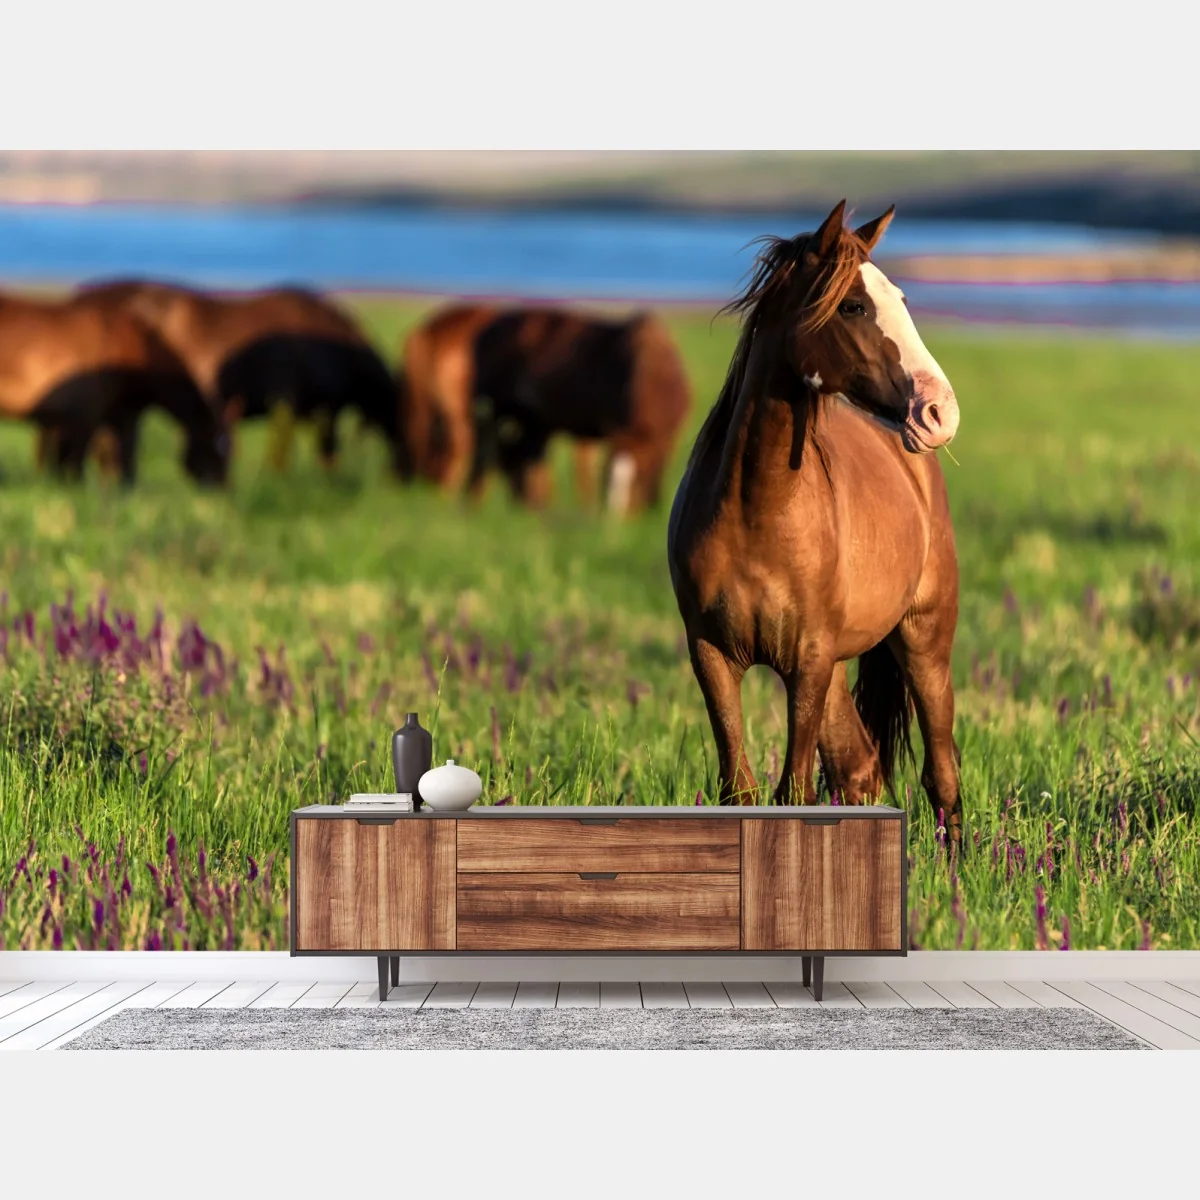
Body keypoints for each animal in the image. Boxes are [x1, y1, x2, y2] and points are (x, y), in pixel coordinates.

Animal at [0, 290, 230, 486]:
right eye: (217, 446)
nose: (220, 486)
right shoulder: (85, 416)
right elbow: (77, 460)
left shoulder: (115, 415)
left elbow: (116, 458)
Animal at [666, 200, 964, 846]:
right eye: (852, 305)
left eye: (901, 298)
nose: (939, 412)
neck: (759, 512)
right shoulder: (713, 656)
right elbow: (741, 788)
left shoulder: (807, 662)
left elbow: (793, 791)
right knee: (861, 769)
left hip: (923, 643)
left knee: (942, 774)